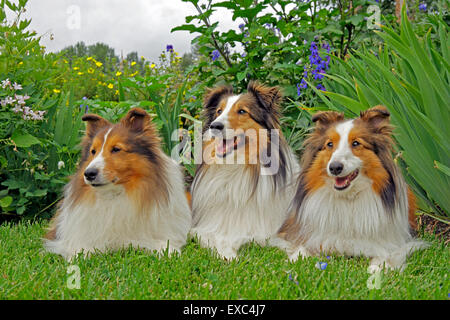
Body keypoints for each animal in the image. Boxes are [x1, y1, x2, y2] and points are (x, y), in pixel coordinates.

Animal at [45, 108, 192, 260]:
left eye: (116, 149)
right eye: (93, 151)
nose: (89, 174)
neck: (115, 194)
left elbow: (163, 243)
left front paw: (169, 251)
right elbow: (81, 246)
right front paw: (79, 255)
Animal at [189, 81, 298, 258]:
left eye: (242, 111)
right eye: (219, 111)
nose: (214, 125)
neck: (238, 167)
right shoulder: (209, 227)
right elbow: (220, 240)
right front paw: (230, 257)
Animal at [276, 106, 428, 272]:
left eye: (356, 143)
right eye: (330, 144)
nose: (335, 167)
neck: (348, 198)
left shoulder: (393, 242)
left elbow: (385, 254)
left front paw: (378, 269)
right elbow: (302, 247)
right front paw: (296, 260)